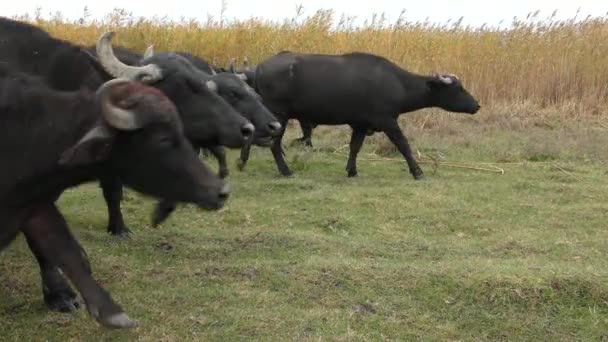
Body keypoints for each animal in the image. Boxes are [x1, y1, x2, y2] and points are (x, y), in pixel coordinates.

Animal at [238, 51, 480, 179]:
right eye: (458, 88)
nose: (476, 105)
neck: (397, 83)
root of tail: (259, 69)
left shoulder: (361, 125)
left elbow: (355, 146)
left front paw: (351, 170)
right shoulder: (388, 121)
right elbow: (403, 144)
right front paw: (417, 171)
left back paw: (242, 162)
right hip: (279, 114)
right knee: (274, 143)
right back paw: (285, 170)